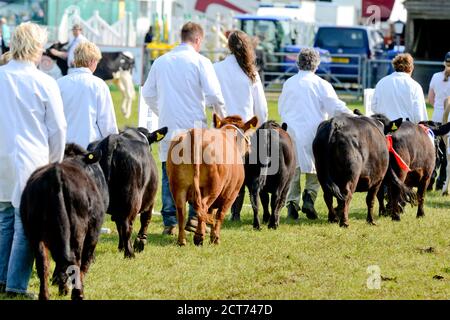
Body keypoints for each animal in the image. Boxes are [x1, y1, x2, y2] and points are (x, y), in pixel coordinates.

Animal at [20, 144, 107, 300]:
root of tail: (56, 174)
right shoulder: (93, 234)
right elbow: (85, 263)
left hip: (35, 232)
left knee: (44, 263)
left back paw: (45, 295)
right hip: (78, 230)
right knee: (75, 261)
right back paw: (77, 294)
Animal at [88, 126, 167, 258]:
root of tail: (112, 139)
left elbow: (118, 224)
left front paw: (121, 246)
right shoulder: (151, 200)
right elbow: (146, 219)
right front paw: (140, 243)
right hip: (132, 198)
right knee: (127, 225)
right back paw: (130, 254)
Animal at [166, 114, 258, 245]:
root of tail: (195, 133)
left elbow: (211, 212)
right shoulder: (232, 193)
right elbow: (220, 214)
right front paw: (215, 239)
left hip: (177, 187)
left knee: (181, 211)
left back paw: (182, 241)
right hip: (214, 187)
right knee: (203, 207)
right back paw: (199, 237)